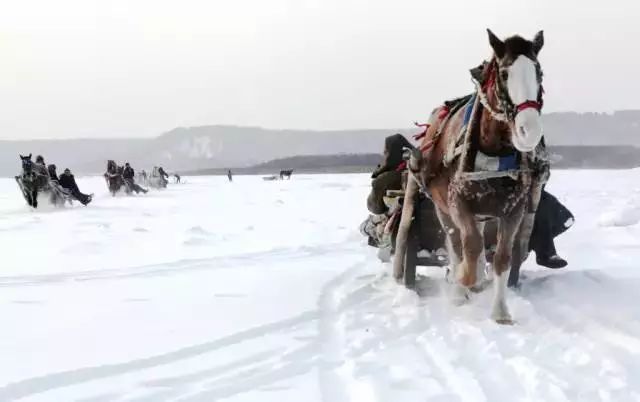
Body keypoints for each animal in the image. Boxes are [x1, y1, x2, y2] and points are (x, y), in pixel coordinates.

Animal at [396, 28, 552, 324]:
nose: (530, 130)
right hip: (442, 208)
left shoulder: (513, 209)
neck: (493, 153)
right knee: (457, 243)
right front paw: (465, 281)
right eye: (504, 73)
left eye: (539, 72)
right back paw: (461, 288)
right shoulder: (457, 202)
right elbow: (468, 246)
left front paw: (500, 311)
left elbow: (502, 257)